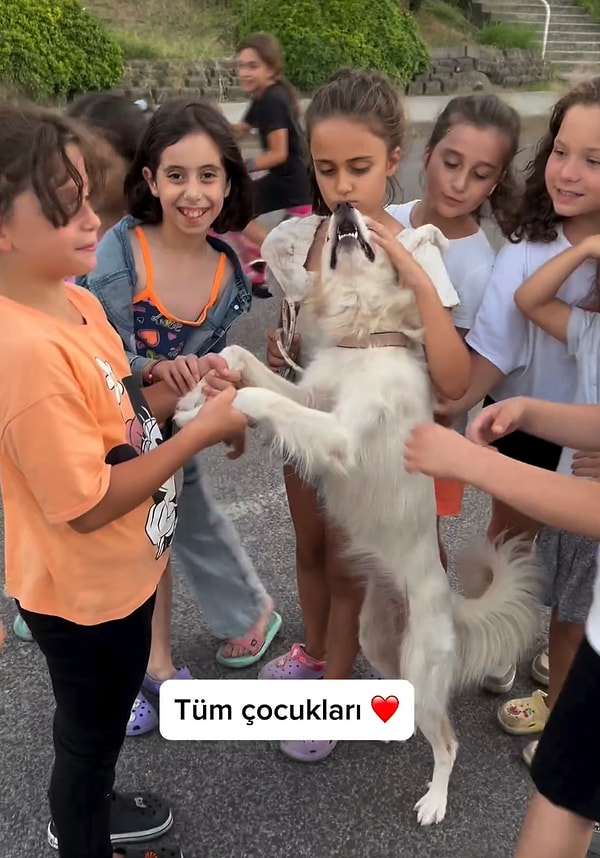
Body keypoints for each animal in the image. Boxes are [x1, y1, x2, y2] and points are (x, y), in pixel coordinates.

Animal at [175, 204, 544, 824]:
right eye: (335, 225)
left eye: (373, 229)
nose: (344, 207)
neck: (365, 339)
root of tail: (449, 601)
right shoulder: (308, 399)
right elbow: (239, 358)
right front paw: (190, 399)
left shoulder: (340, 434)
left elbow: (255, 397)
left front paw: (221, 407)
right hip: (378, 640)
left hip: (420, 660)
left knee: (447, 742)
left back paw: (435, 801)